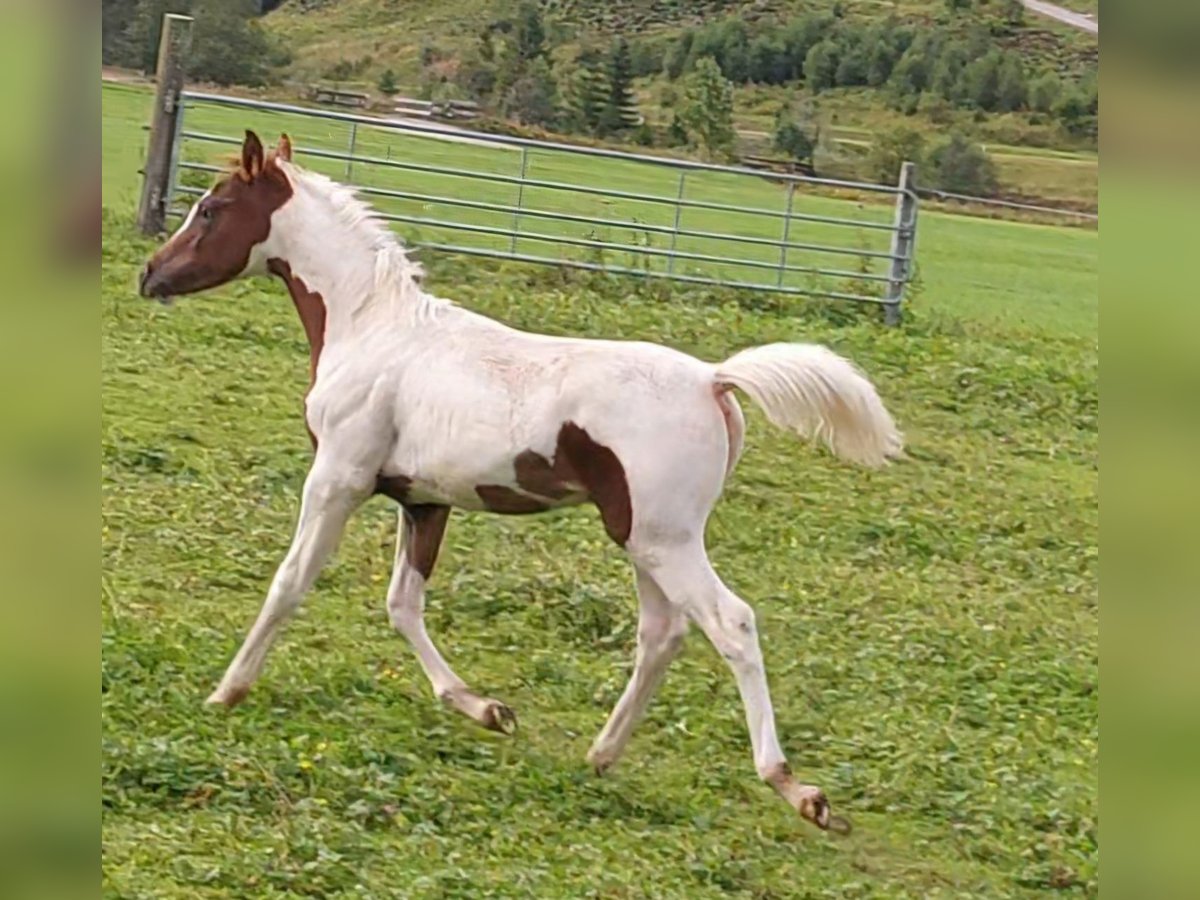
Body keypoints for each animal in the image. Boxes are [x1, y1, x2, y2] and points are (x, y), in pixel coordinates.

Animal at [138, 130, 902, 832]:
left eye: (212, 208)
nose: (150, 275)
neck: (372, 330)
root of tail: (714, 379)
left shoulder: (337, 479)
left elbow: (291, 581)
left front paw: (227, 690)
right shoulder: (423, 501)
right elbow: (402, 605)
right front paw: (485, 708)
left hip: (665, 538)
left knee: (731, 622)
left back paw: (794, 787)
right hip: (646, 538)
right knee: (662, 633)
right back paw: (601, 754)